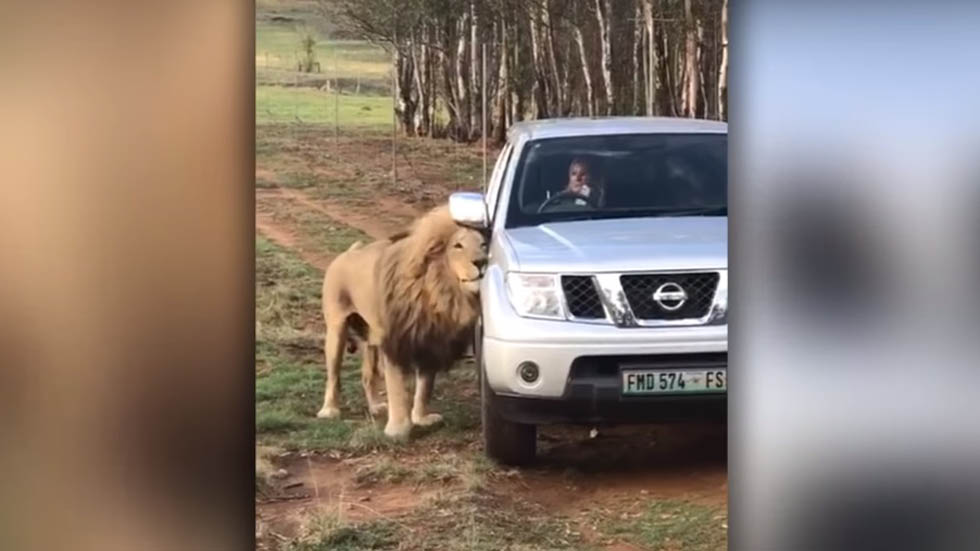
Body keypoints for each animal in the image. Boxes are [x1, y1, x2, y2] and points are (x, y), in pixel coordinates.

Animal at [317, 204, 488, 440]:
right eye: (458, 246)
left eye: (483, 245)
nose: (482, 262)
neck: (441, 290)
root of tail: (348, 252)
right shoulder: (396, 340)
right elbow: (397, 387)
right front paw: (398, 429)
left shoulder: (431, 340)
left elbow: (425, 386)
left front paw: (421, 418)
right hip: (336, 328)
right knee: (333, 376)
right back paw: (329, 410)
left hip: (371, 336)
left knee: (367, 375)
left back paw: (375, 406)